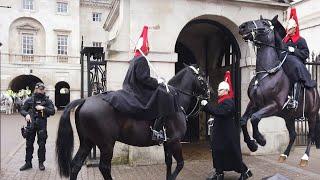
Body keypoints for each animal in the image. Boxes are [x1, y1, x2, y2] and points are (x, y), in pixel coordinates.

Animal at [56, 64, 209, 180]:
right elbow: (180, 164)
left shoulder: (168, 142)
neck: (176, 102)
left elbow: (169, 163)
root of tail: (85, 100)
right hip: (106, 144)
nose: (209, 93)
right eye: (202, 77)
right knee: (104, 167)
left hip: (87, 142)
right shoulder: (175, 141)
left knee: (75, 165)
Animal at [239, 15, 318, 166]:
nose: (242, 26)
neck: (265, 74)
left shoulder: (273, 106)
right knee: (293, 135)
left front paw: (261, 140)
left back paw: (304, 158)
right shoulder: (254, 104)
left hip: (311, 114)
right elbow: (243, 120)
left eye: (264, 23)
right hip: (289, 117)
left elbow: (254, 118)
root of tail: (315, 91)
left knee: (311, 134)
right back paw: (284, 155)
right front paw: (252, 144)